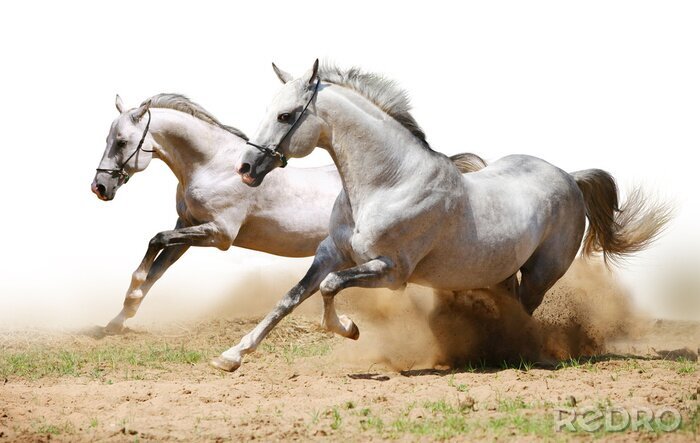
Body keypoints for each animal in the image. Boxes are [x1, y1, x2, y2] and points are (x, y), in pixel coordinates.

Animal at [92, 93, 485, 333]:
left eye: (122, 142)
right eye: (108, 139)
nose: (99, 187)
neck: (212, 164)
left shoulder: (218, 234)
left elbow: (154, 241)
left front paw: (126, 303)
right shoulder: (188, 226)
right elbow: (156, 269)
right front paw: (117, 321)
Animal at [210, 60, 671, 372]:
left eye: (286, 115)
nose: (246, 168)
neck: (388, 183)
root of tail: (570, 178)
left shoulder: (391, 272)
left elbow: (329, 287)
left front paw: (350, 329)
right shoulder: (331, 253)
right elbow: (290, 298)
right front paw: (231, 356)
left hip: (542, 272)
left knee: (525, 311)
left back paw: (519, 353)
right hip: (502, 271)